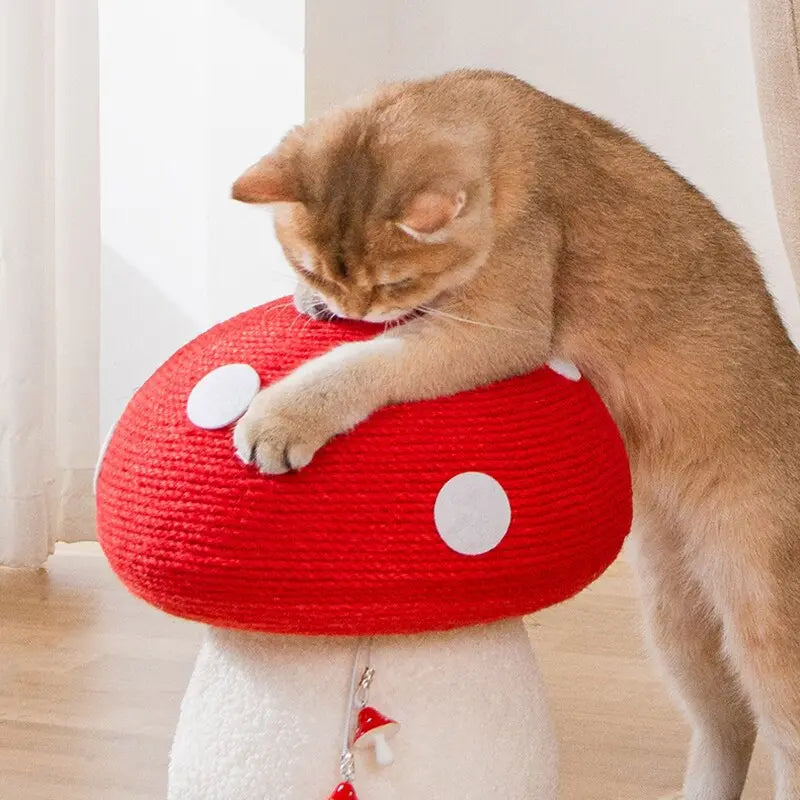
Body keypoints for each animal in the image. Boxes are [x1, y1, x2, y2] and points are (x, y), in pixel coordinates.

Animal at [231, 70, 800, 800]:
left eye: (397, 279)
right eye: (313, 268)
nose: (351, 306)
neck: (505, 124)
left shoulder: (501, 328)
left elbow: (375, 360)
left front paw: (282, 415)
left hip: (763, 614)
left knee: (783, 731)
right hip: (677, 616)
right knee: (728, 722)